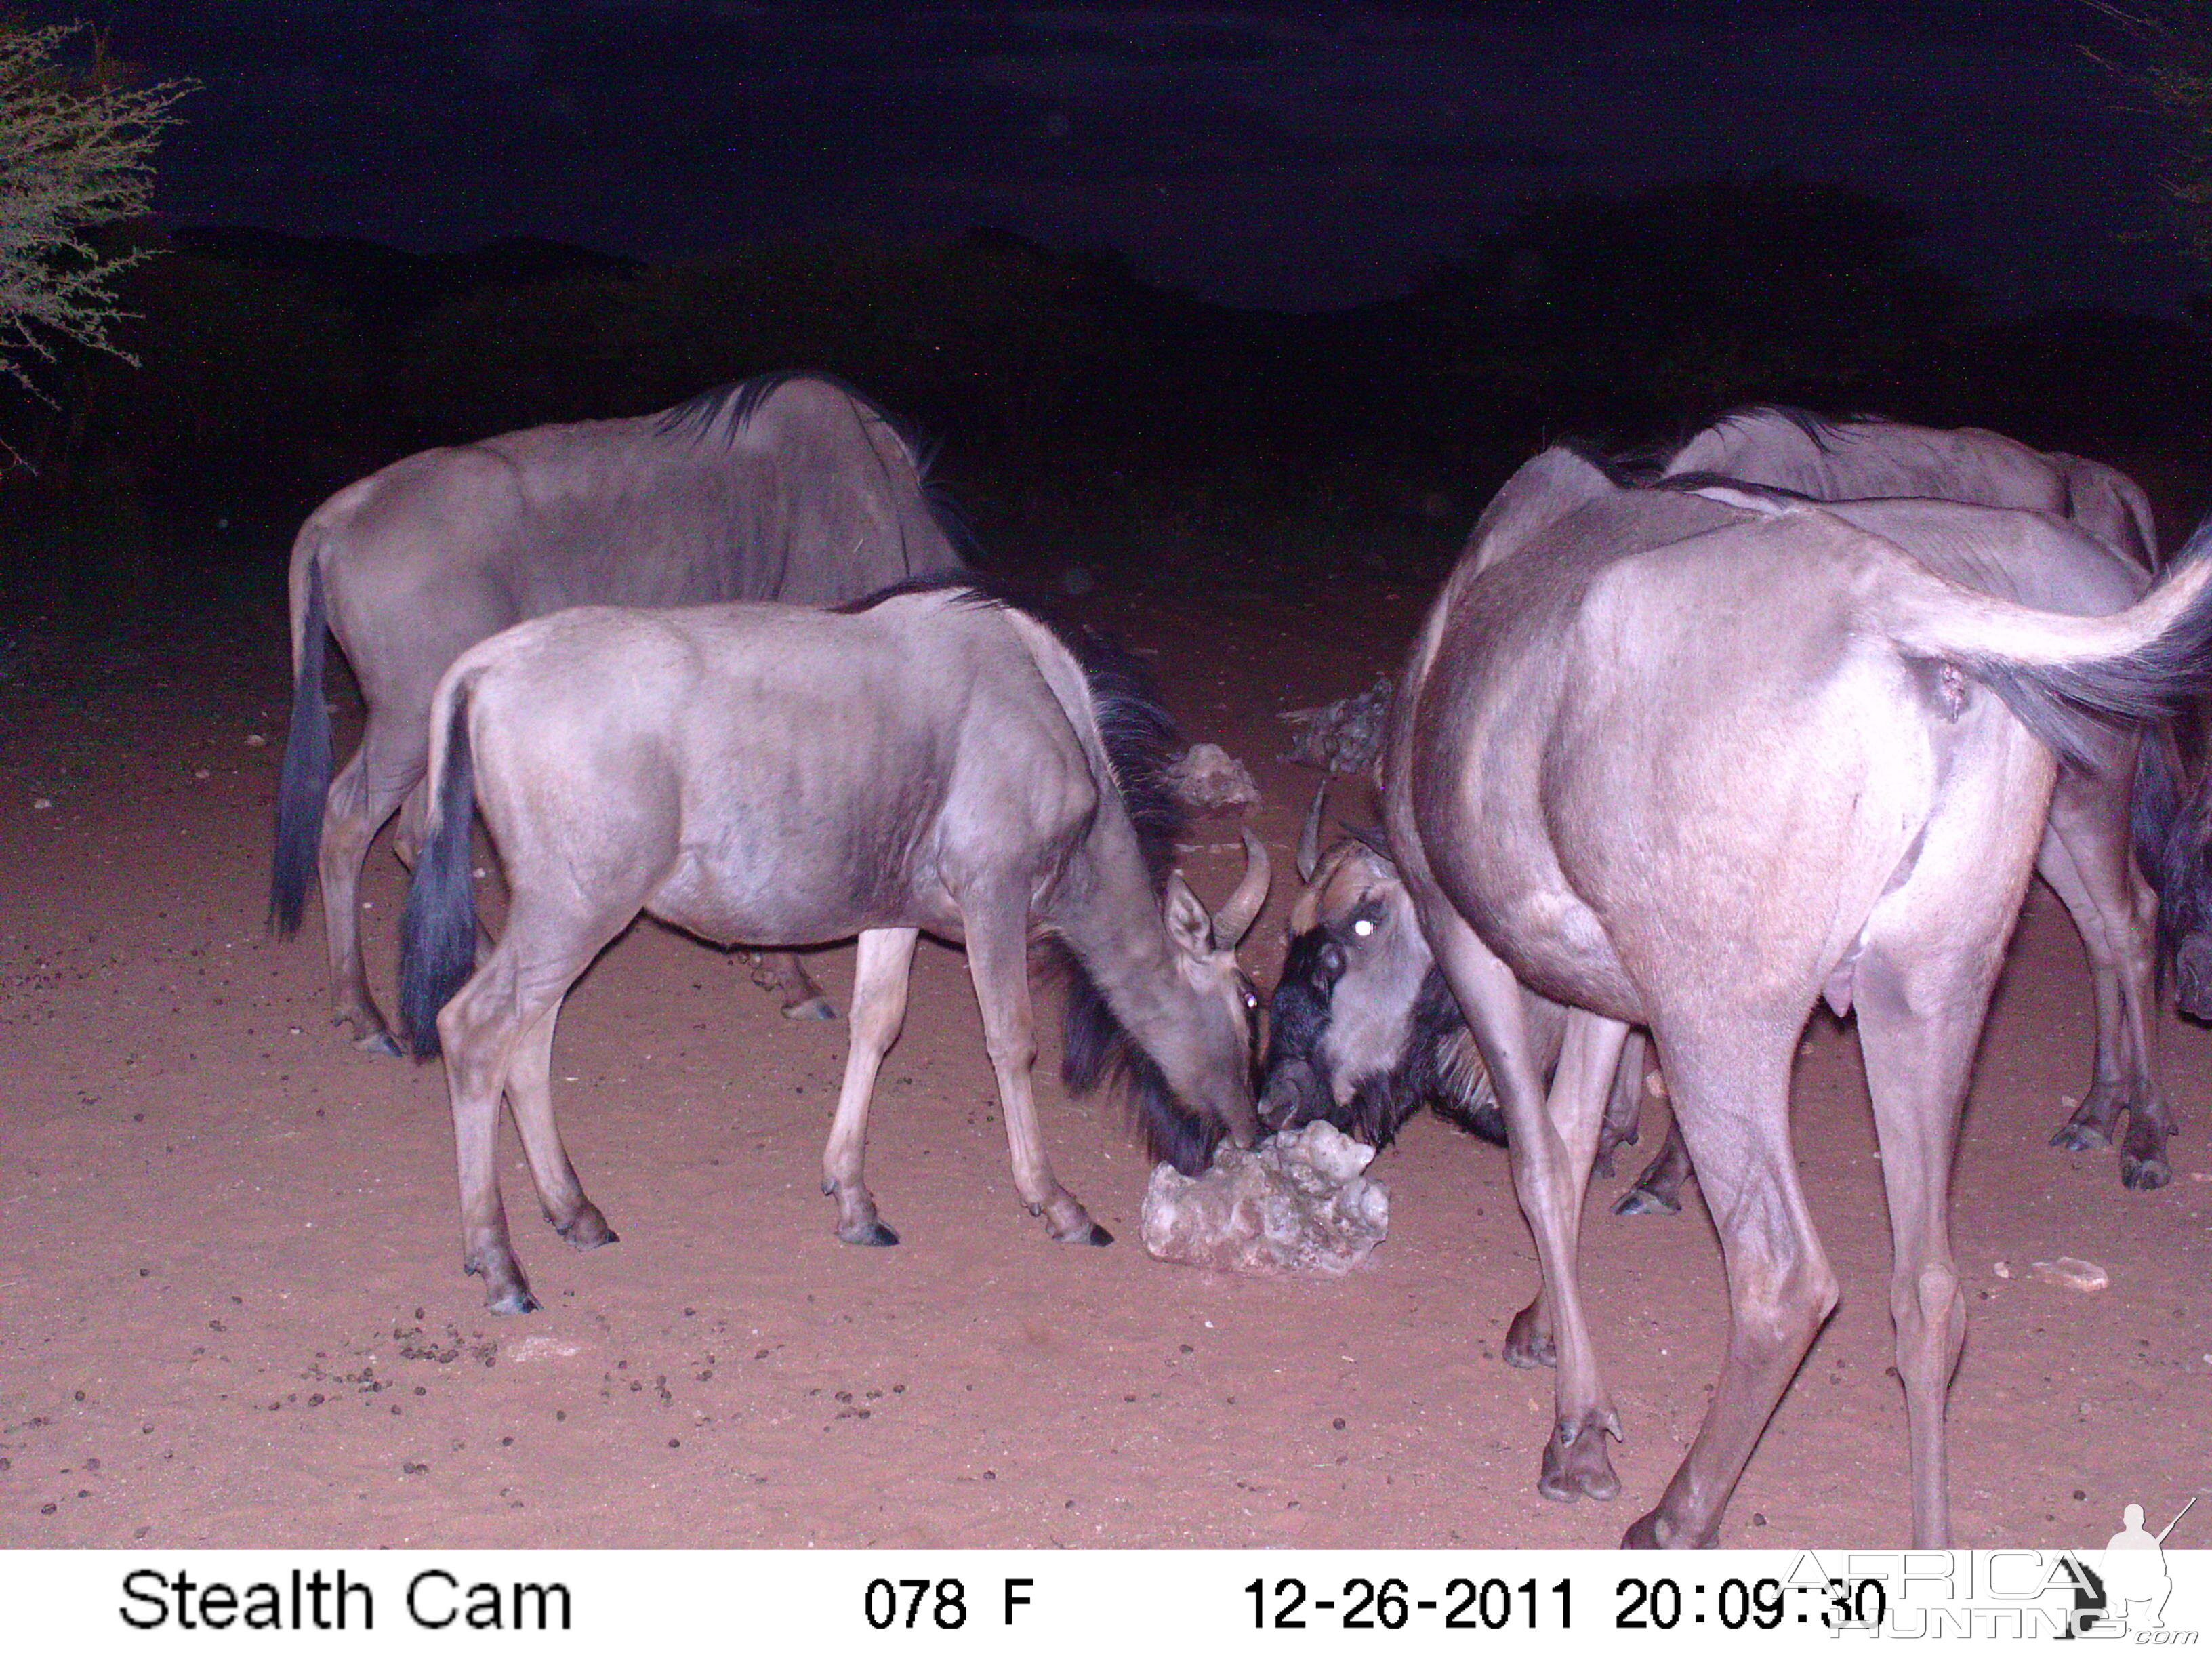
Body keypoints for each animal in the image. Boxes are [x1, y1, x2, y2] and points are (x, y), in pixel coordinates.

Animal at [396, 592, 1265, 1318]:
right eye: (1247, 1002)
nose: (1254, 1129)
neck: (1049, 708)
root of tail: (488, 663)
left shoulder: (894, 916)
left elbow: (875, 1025)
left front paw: (854, 1198)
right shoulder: (994, 895)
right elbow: (1012, 1042)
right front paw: (1057, 1203)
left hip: (565, 919)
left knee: (529, 1041)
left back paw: (573, 1211)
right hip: (575, 911)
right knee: (474, 1030)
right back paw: (499, 1261)